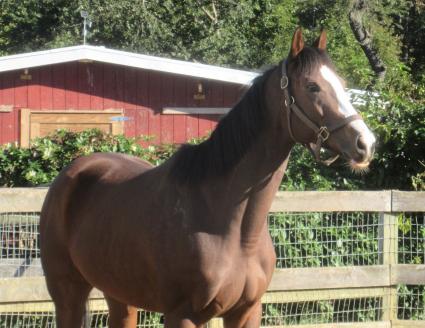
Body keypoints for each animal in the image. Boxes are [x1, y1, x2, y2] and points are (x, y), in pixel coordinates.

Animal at [39, 28, 374, 328]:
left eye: (342, 84)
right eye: (312, 86)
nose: (366, 143)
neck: (233, 228)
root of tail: (72, 173)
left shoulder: (246, 313)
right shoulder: (183, 315)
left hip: (120, 294)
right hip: (68, 293)